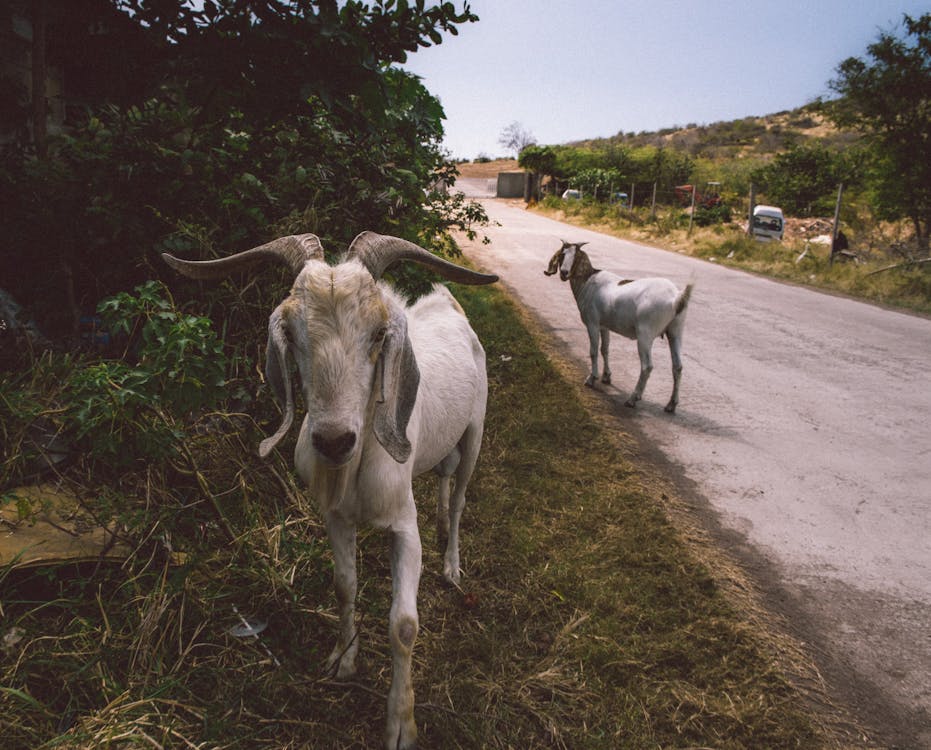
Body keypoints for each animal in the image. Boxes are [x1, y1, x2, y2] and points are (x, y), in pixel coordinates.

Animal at [162, 232, 496, 748]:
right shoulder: (335, 517)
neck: (354, 470)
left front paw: (401, 724)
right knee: (443, 478)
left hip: (475, 431)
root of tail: (447, 302)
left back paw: (452, 564)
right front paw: (343, 660)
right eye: (293, 334)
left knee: (460, 495)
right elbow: (344, 585)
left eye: (378, 335)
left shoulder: (404, 525)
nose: (334, 441)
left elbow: (403, 625)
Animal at [548, 241, 692, 414]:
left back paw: (632, 399)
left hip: (645, 334)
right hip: (675, 331)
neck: (587, 282)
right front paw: (606, 376)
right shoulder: (604, 326)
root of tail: (676, 298)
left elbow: (593, 351)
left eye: (575, 257)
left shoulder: (592, 322)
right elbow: (605, 349)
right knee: (678, 367)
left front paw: (591, 378)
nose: (564, 272)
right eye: (563, 254)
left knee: (647, 367)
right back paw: (671, 404)